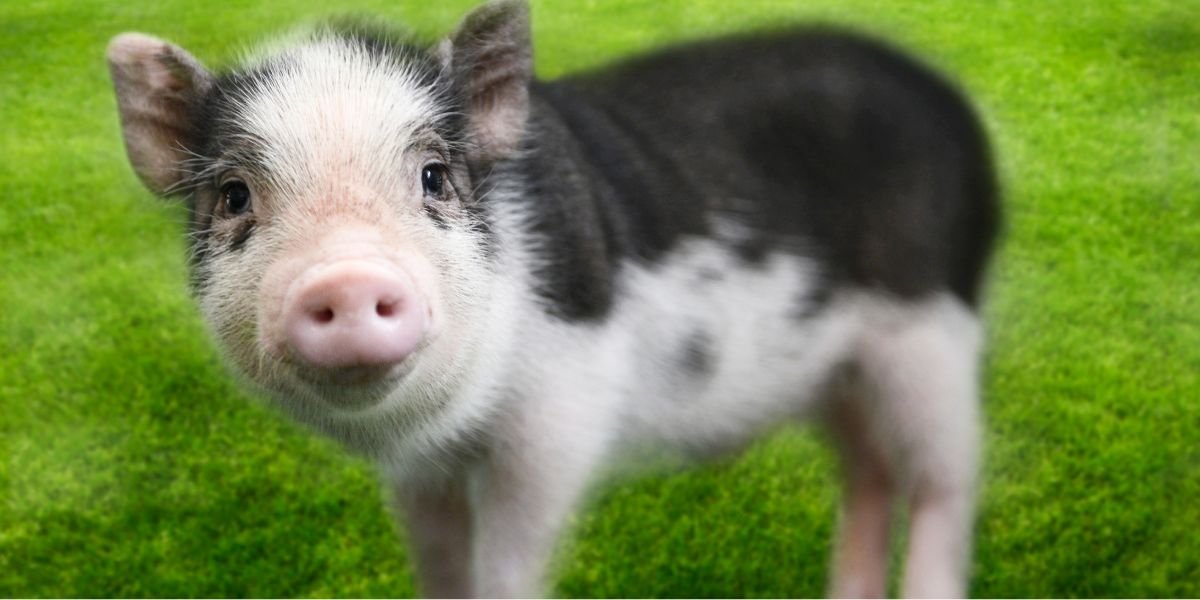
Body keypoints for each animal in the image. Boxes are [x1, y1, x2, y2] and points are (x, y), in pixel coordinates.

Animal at [106, 0, 999, 597]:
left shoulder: (557, 417)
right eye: (233, 195)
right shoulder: (419, 468)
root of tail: (949, 100)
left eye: (436, 176)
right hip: (837, 374)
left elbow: (510, 558)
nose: (347, 277)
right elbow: (438, 559)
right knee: (869, 474)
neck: (451, 428)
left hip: (931, 331)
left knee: (944, 483)